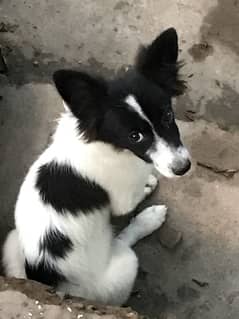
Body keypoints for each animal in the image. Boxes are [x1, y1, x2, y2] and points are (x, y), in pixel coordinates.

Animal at [2, 28, 190, 308]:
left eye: (168, 115)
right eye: (135, 136)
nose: (183, 168)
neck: (108, 143)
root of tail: (48, 282)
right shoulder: (122, 196)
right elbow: (133, 196)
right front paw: (148, 187)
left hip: (12, 241)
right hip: (124, 265)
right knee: (123, 242)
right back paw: (148, 220)